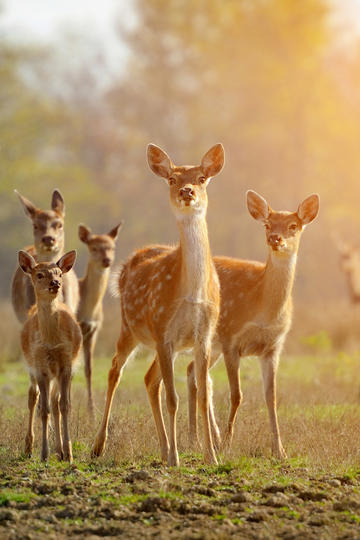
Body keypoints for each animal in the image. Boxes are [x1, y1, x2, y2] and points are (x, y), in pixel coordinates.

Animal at [18, 251, 81, 462]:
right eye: (39, 275)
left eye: (59, 273)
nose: (55, 283)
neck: (51, 341)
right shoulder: (40, 366)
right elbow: (43, 409)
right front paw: (44, 454)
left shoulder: (66, 363)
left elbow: (65, 406)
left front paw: (69, 454)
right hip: (32, 367)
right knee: (33, 398)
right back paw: (29, 447)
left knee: (55, 403)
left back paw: (60, 451)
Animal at [91, 142, 224, 464]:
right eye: (172, 179)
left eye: (202, 178)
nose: (187, 191)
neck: (192, 291)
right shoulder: (163, 329)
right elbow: (173, 398)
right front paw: (177, 458)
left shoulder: (203, 335)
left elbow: (202, 394)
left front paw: (211, 457)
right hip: (130, 328)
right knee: (115, 370)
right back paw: (98, 445)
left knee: (150, 380)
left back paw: (163, 449)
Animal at [184, 192, 320, 458]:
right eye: (267, 224)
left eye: (293, 226)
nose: (275, 238)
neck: (263, 310)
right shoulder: (230, 338)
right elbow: (237, 395)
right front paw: (227, 445)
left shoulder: (272, 348)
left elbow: (272, 397)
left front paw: (280, 450)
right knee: (196, 376)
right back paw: (199, 440)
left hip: (212, 346)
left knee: (193, 372)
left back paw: (203, 439)